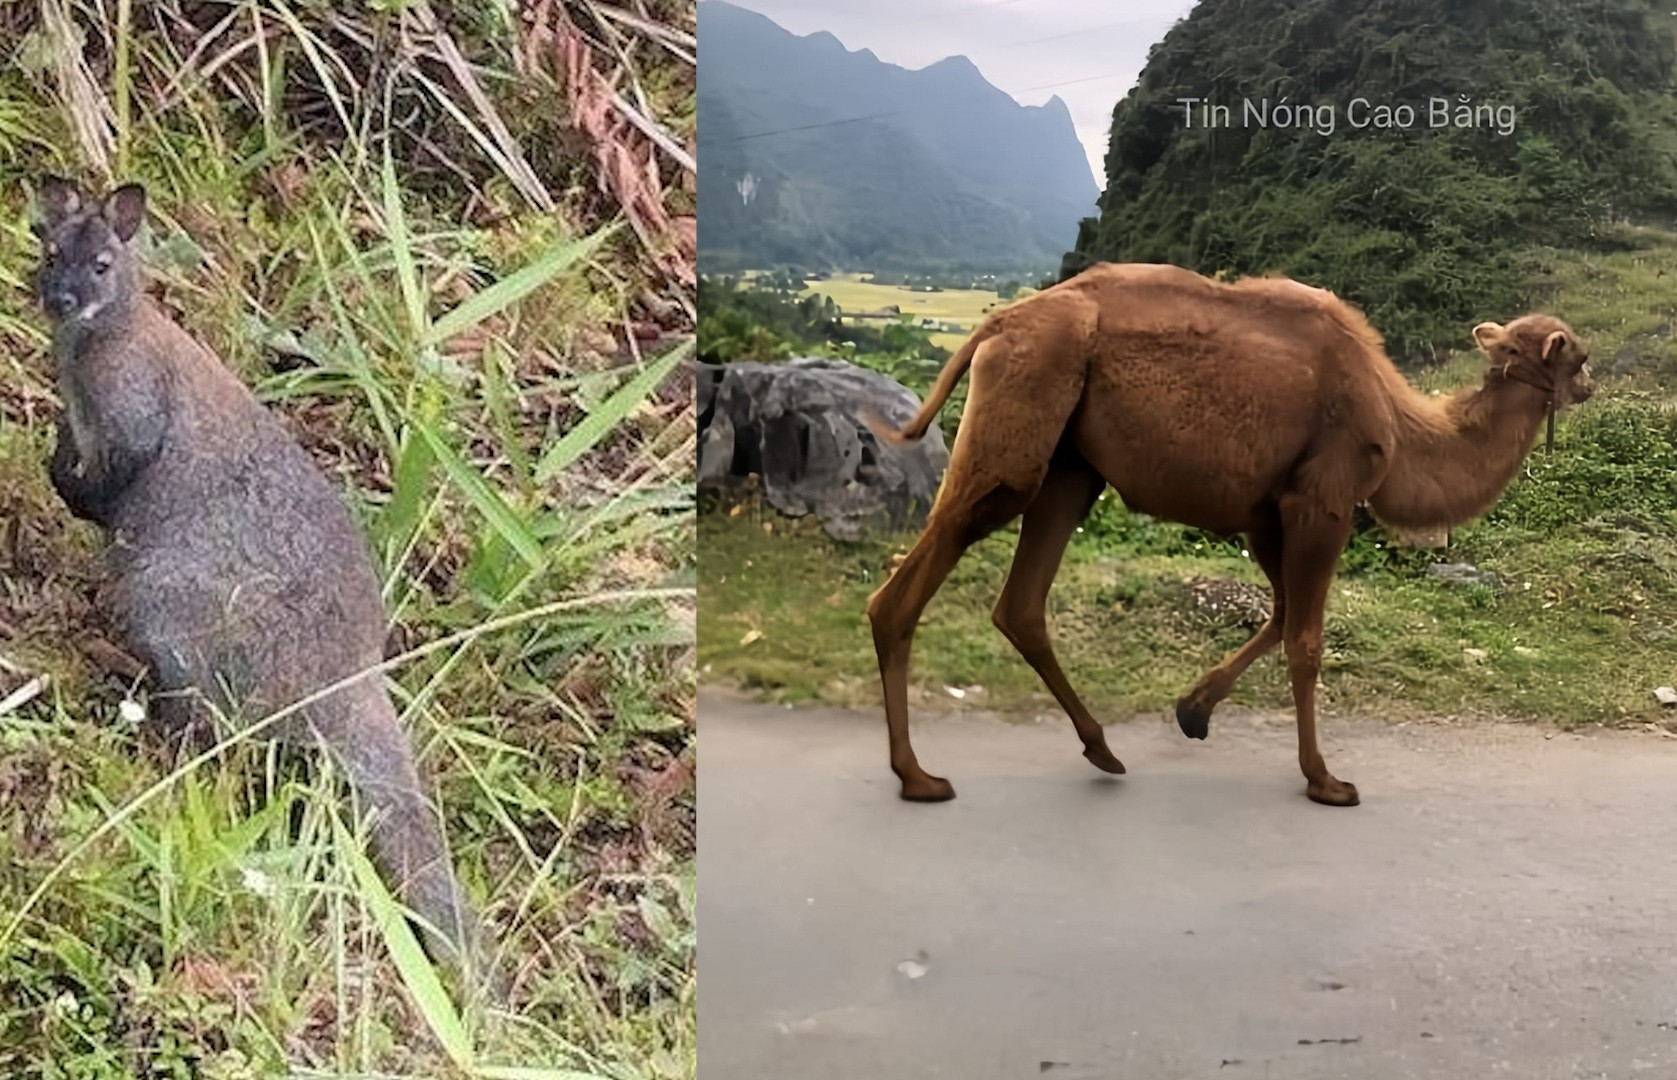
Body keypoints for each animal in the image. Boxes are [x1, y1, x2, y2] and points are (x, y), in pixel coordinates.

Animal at [872, 259, 1589, 801]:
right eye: (1577, 357)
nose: (1587, 384)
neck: (1397, 422)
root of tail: (992, 326)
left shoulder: (1265, 514)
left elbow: (1280, 614)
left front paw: (1193, 712)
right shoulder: (1321, 500)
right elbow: (1305, 639)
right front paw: (1324, 779)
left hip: (1071, 465)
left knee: (1020, 602)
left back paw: (1100, 750)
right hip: (1023, 422)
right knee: (910, 585)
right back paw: (918, 776)